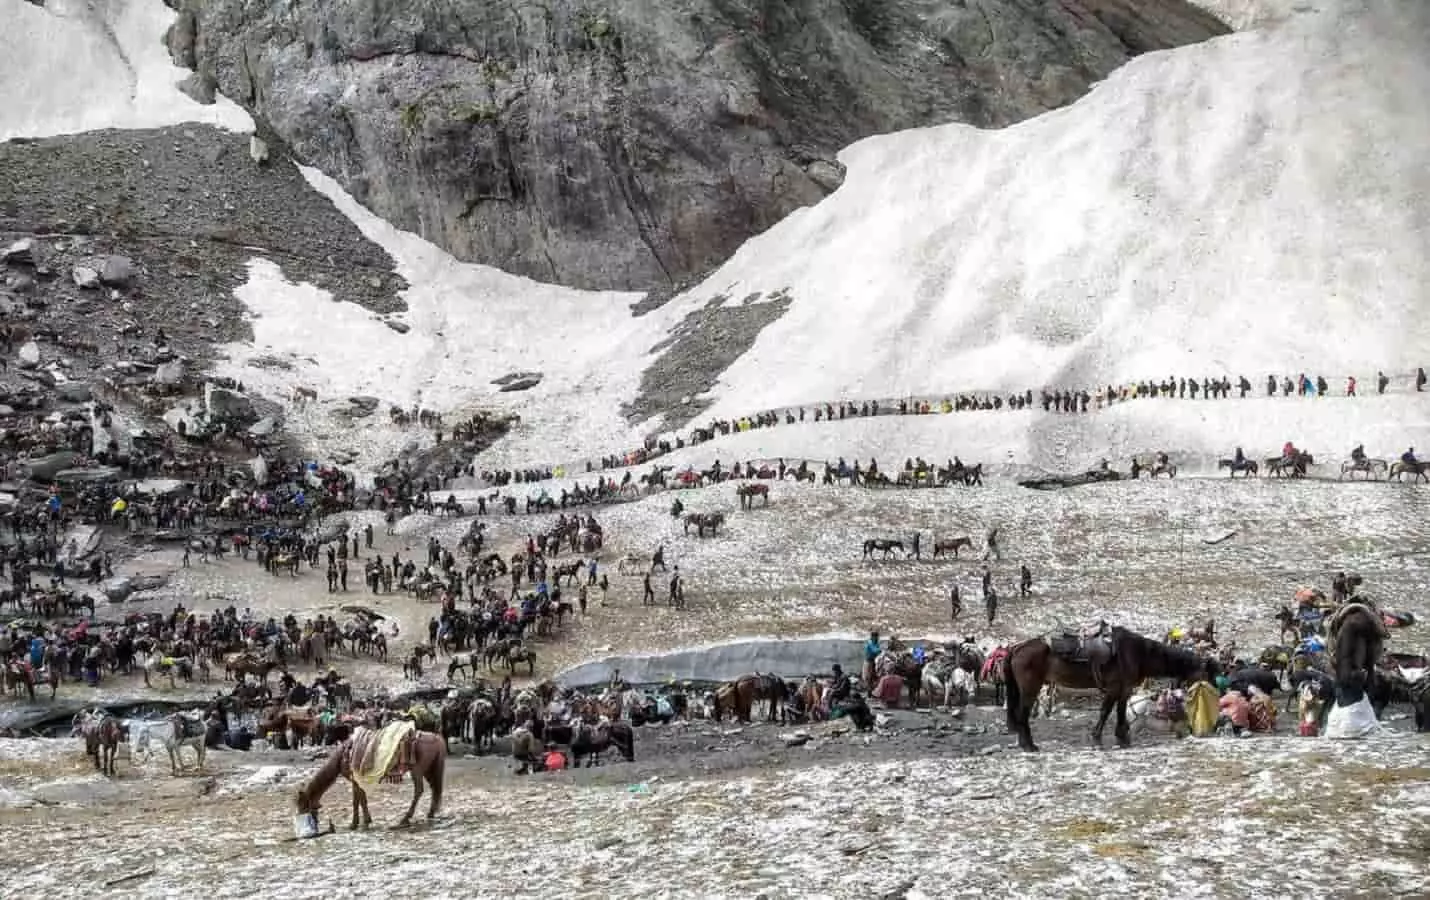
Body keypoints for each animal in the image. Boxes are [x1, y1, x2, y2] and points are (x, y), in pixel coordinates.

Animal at [293, 718, 443, 829]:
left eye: (302, 804)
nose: (306, 822)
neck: (342, 756)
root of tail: (436, 738)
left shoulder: (355, 779)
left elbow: (357, 800)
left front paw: (355, 824)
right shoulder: (358, 779)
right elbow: (361, 799)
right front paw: (365, 820)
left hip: (417, 769)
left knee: (419, 790)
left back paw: (405, 819)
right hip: (429, 769)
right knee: (434, 788)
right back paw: (430, 813)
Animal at [1006, 623, 1218, 749]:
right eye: (1207, 674)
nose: (1216, 694)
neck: (1136, 654)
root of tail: (1017, 648)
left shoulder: (1125, 689)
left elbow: (1120, 712)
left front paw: (1122, 739)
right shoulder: (1115, 689)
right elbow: (1105, 711)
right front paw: (1097, 739)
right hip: (1030, 689)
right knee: (1022, 714)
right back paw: (1029, 745)